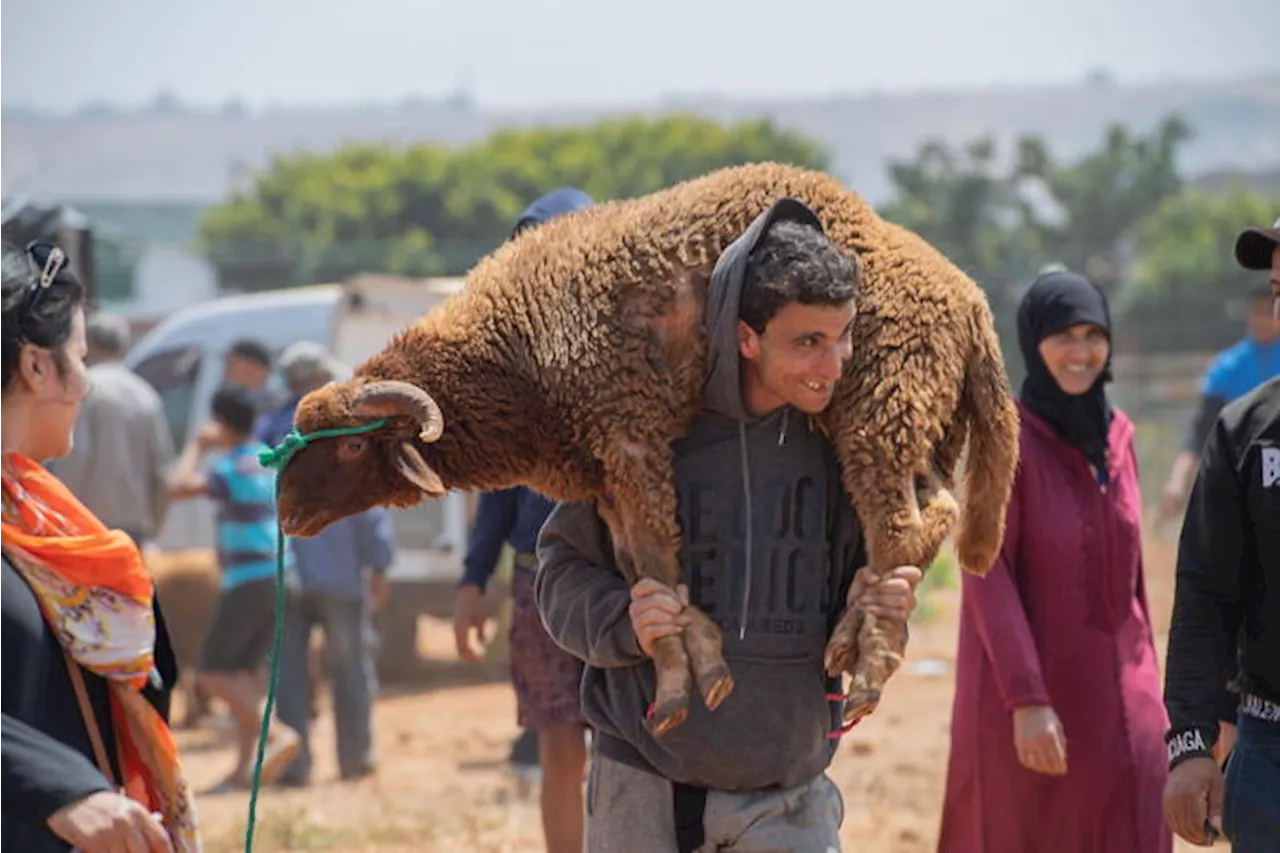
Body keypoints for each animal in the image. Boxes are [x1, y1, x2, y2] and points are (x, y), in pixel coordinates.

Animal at [272, 162, 1018, 732]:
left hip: (881, 406)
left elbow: (658, 557)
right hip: (925, 424)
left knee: (901, 526)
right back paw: (853, 630)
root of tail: (971, 300)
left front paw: (686, 680)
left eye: (349, 449)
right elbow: (644, 573)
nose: (285, 514)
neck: (511, 351)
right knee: (935, 511)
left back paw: (868, 662)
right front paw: (696, 661)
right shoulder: (604, 475)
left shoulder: (631, 438)